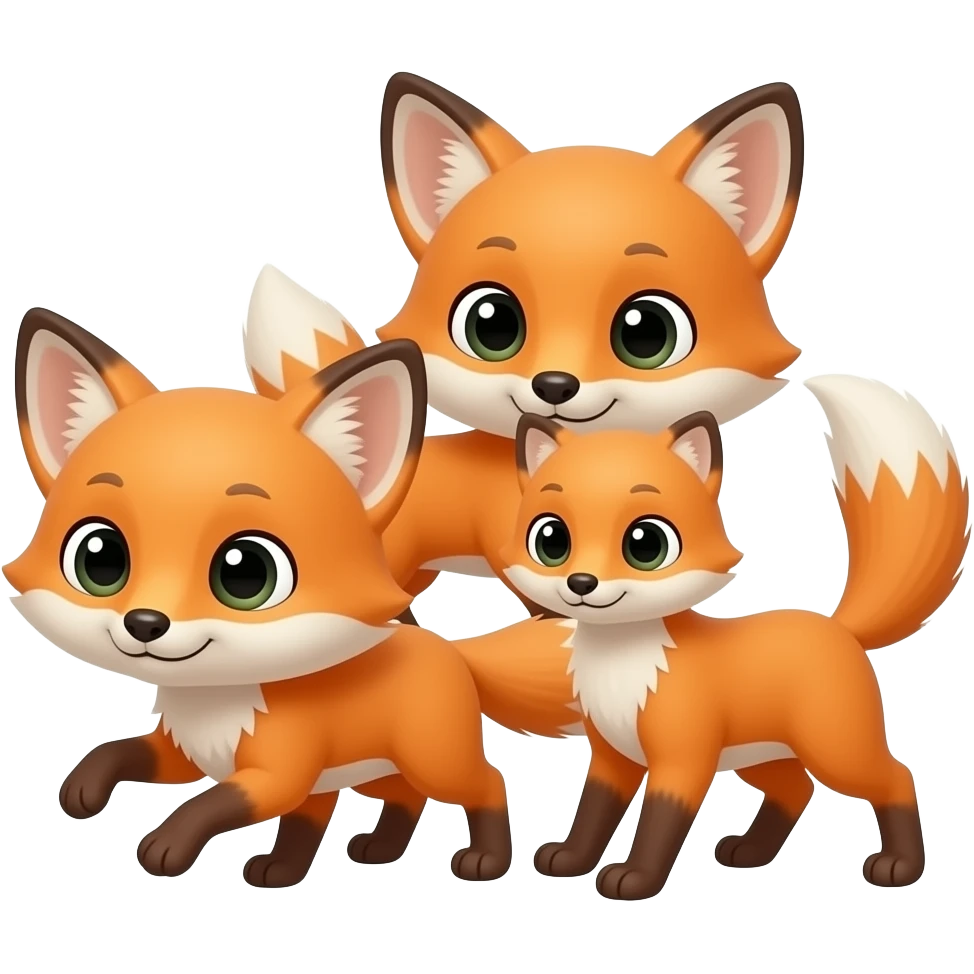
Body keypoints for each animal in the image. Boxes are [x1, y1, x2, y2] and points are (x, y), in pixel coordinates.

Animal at [5, 306, 581, 887]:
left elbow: (207, 805)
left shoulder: (273, 774)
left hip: (433, 758)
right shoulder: (182, 751)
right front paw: (83, 786)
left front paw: (166, 846)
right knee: (384, 799)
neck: (216, 703)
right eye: (99, 558)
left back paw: (485, 860)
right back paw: (336, 857)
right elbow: (121, 751)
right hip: (372, 770)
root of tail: (451, 650)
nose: (145, 622)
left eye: (246, 573)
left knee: (484, 781)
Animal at [499, 376, 969, 901]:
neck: (622, 667)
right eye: (551, 540)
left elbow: (659, 824)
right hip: (762, 755)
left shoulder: (683, 759)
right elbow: (592, 815)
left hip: (836, 749)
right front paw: (571, 860)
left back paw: (900, 867)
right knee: (797, 788)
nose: (581, 584)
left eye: (646, 544)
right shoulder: (611, 757)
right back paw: (751, 852)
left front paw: (634, 878)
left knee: (896, 777)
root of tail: (836, 626)